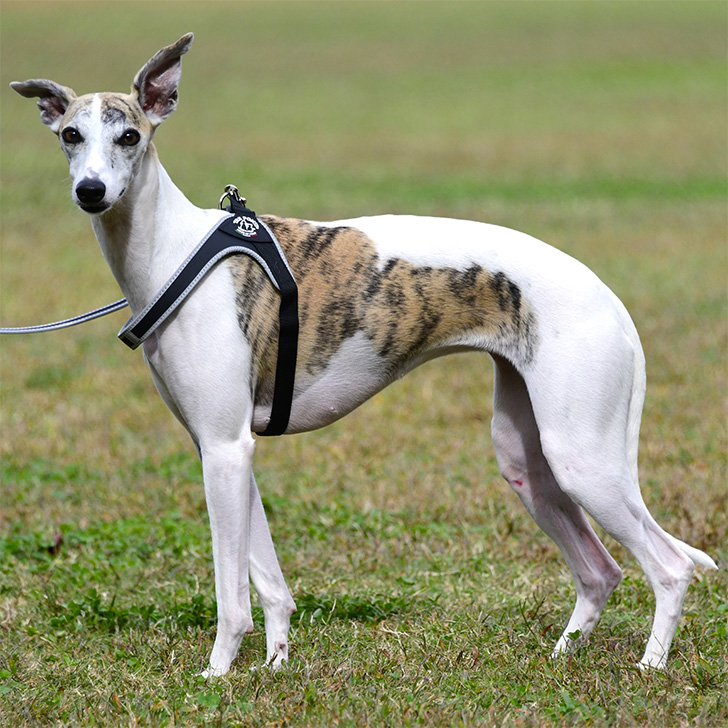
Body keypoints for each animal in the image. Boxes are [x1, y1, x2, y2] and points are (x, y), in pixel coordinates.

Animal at [10, 33, 716, 676]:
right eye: (70, 135)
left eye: (129, 136)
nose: (92, 191)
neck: (174, 251)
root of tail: (610, 298)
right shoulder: (225, 448)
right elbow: (270, 583)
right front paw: (276, 666)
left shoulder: (225, 447)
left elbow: (232, 595)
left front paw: (216, 679)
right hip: (529, 460)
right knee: (601, 570)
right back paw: (560, 657)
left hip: (582, 458)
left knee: (672, 565)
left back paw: (651, 667)